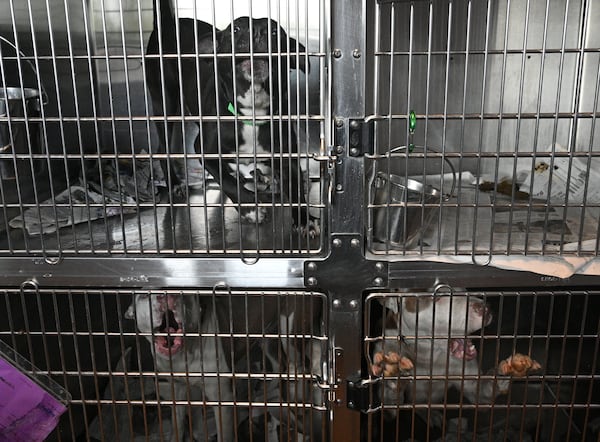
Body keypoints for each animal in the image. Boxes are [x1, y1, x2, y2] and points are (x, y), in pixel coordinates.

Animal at [145, 0, 318, 237]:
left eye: (275, 32)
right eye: (235, 30)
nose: (257, 32)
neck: (252, 113)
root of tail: (167, 25)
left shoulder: (287, 154)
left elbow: (295, 188)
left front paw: (304, 219)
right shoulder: (205, 151)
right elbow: (227, 182)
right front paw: (250, 209)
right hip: (165, 103)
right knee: (163, 149)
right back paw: (174, 183)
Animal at [372, 290, 540, 424]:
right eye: (437, 296)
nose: (485, 307)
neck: (428, 355)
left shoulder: (476, 391)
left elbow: (482, 393)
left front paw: (507, 370)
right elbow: (389, 403)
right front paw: (394, 378)